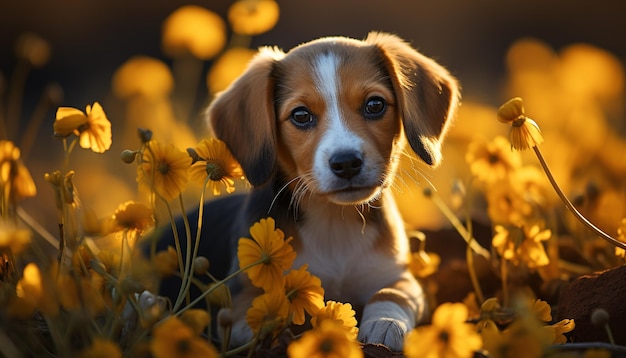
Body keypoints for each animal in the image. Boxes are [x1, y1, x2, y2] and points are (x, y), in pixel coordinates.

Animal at [158, 32, 456, 352]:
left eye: (375, 105)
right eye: (301, 115)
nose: (346, 162)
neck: (334, 220)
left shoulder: (397, 275)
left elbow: (392, 293)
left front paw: (386, 322)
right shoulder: (242, 292)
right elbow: (256, 315)